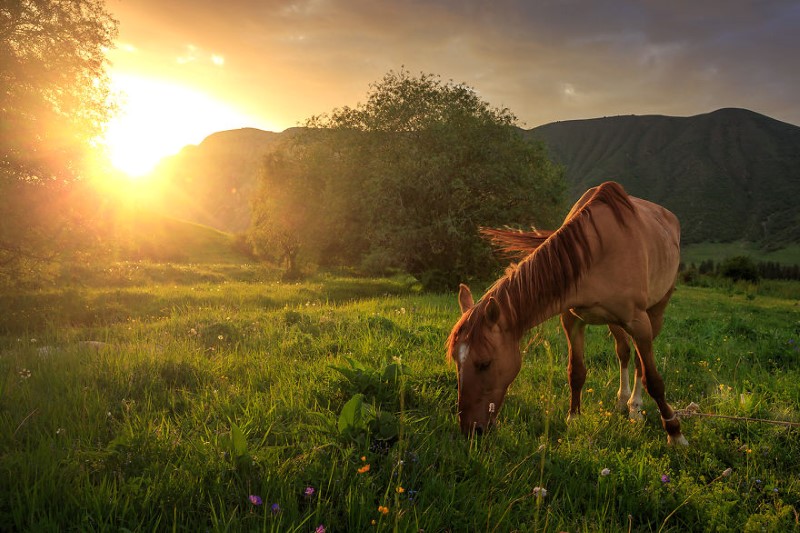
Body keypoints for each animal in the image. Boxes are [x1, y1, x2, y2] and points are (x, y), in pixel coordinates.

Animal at [444, 182, 688, 444]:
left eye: (484, 363)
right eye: (457, 362)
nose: (471, 429)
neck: (596, 252)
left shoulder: (638, 322)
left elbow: (653, 380)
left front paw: (675, 432)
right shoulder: (572, 321)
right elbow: (576, 371)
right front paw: (574, 418)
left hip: (655, 313)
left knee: (640, 364)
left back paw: (635, 407)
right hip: (614, 322)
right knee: (623, 352)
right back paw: (623, 401)